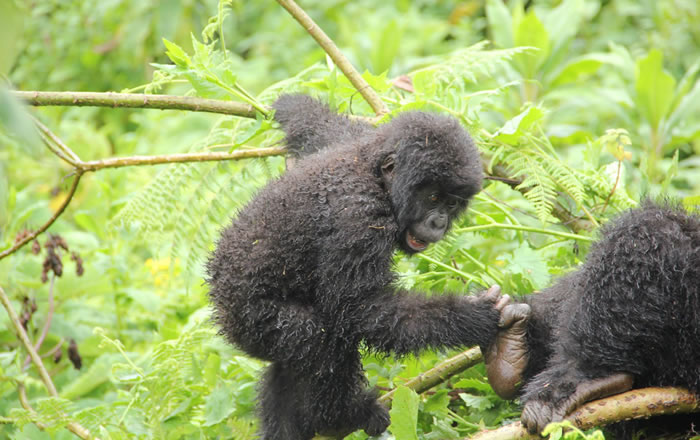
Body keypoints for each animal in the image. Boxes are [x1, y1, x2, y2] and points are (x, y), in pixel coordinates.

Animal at [205, 94, 506, 438]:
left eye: (452, 203)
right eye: (433, 198)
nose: (439, 222)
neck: (376, 178)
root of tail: (219, 303)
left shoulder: (356, 140)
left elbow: (319, 126)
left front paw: (287, 105)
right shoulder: (359, 218)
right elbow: (359, 309)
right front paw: (474, 317)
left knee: (290, 361)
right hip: (249, 317)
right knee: (319, 338)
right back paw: (339, 418)